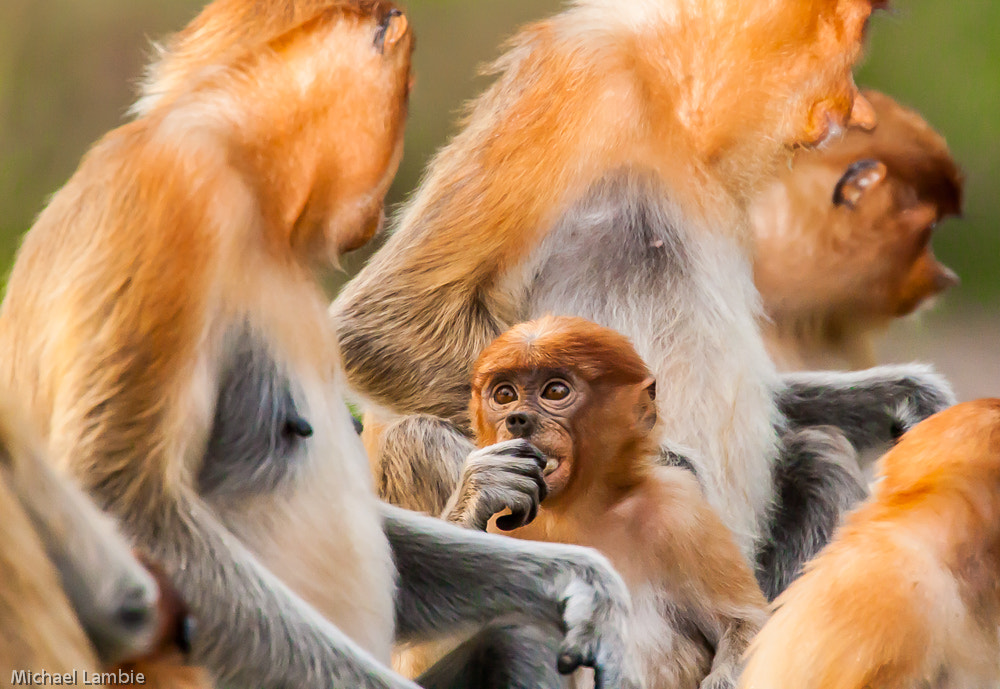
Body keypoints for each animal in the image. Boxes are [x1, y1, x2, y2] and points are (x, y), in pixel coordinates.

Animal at [444, 318, 764, 688]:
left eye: (556, 391)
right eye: (505, 395)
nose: (517, 419)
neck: (573, 512)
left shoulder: (679, 509)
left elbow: (744, 624)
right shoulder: (503, 526)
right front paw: (482, 486)